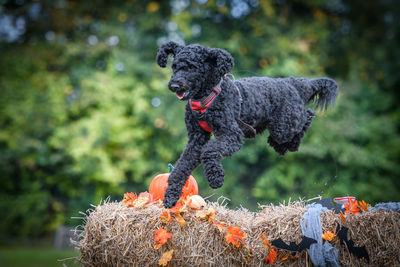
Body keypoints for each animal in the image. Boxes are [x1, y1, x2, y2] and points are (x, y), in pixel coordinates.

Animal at [156, 42, 338, 209]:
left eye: (192, 67)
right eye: (174, 67)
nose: (174, 85)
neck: (206, 97)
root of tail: (292, 83)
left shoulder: (231, 135)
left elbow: (209, 151)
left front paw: (215, 178)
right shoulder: (196, 139)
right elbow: (181, 167)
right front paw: (171, 196)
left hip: (283, 127)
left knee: (307, 115)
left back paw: (292, 143)